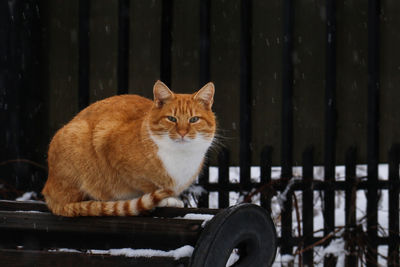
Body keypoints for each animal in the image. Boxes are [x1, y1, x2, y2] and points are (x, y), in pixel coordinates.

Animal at [41, 81, 216, 218]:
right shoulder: (108, 145)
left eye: (194, 119)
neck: (180, 155)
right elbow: (149, 186)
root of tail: (47, 190)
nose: (182, 132)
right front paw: (165, 198)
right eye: (171, 118)